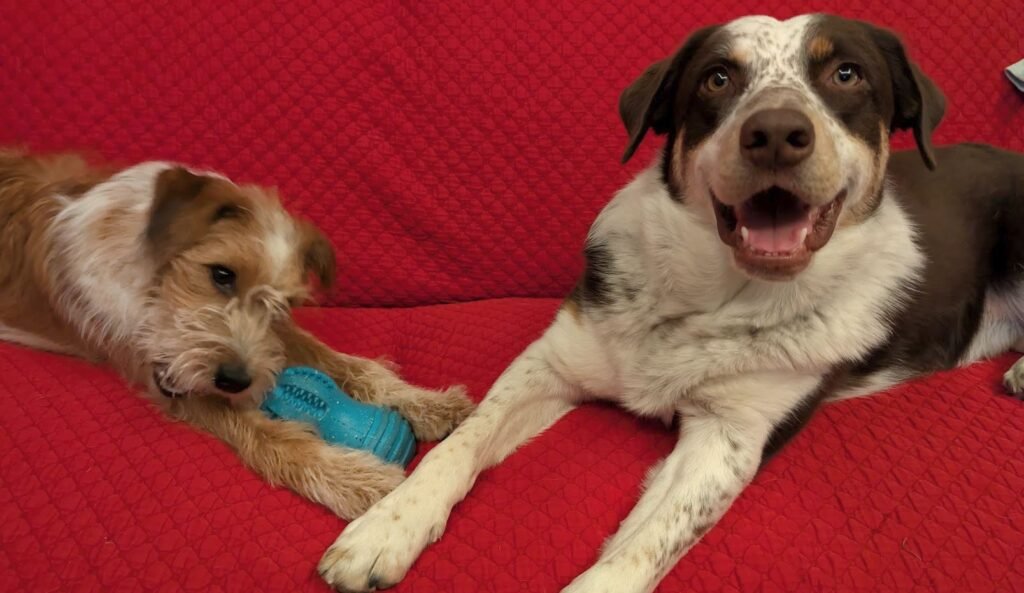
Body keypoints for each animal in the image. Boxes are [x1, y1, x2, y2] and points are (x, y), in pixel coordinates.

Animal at [0, 149, 471, 520]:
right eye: (221, 274)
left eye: (282, 304)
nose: (234, 380)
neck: (153, 279)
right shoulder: (168, 376)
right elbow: (267, 434)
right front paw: (350, 478)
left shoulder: (264, 339)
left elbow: (339, 361)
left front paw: (424, 402)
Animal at [315, 12, 1024, 593]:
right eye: (717, 78)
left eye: (845, 74)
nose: (775, 131)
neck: (708, 299)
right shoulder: (553, 361)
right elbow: (463, 441)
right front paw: (386, 526)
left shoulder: (729, 437)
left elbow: (645, 543)